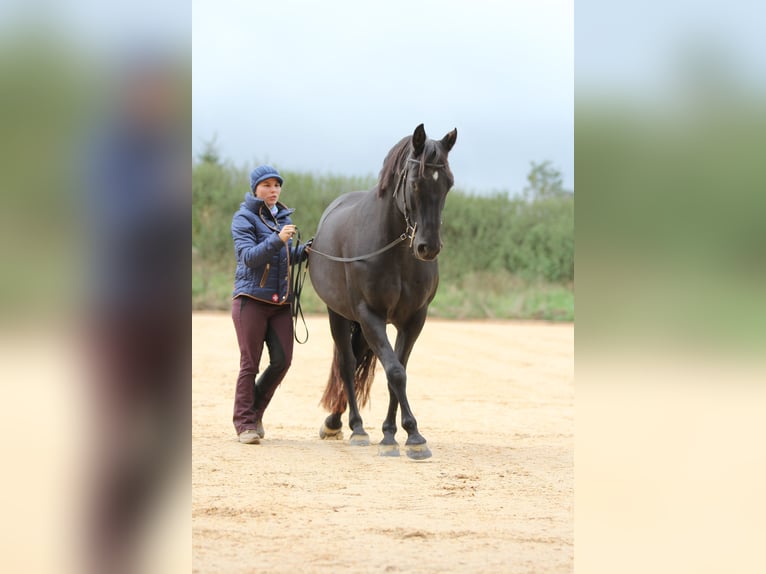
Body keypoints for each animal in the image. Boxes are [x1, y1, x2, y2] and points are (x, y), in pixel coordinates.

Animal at [308, 123, 457, 460]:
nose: (428, 247)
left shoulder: (413, 320)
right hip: (338, 314)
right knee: (346, 364)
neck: (396, 253)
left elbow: (397, 371)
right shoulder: (370, 315)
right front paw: (414, 436)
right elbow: (395, 372)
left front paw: (392, 434)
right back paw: (354, 427)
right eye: (415, 183)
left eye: (449, 184)